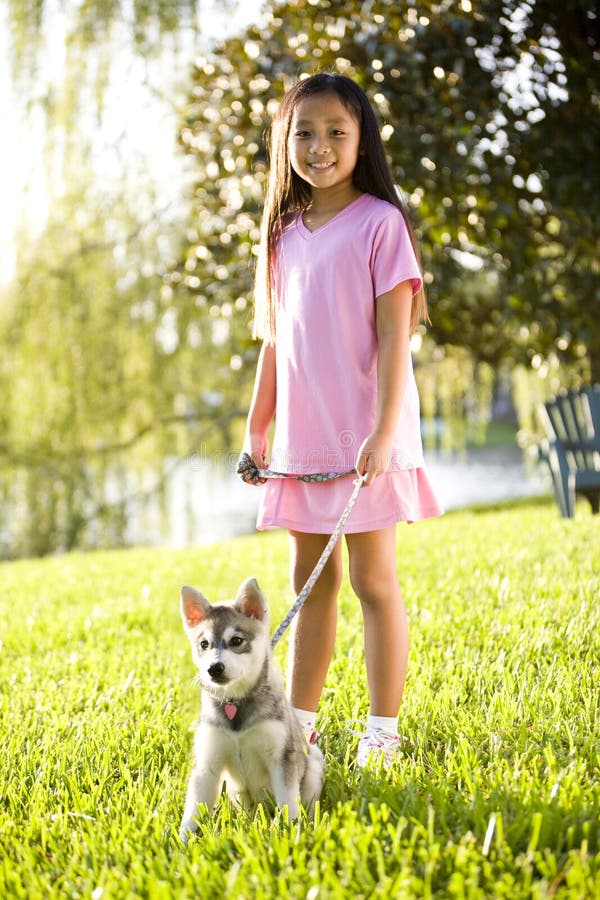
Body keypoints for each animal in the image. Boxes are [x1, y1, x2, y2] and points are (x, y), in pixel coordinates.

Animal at [179, 576, 324, 844]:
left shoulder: (280, 756)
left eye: (236, 640)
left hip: (314, 763)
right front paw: (180, 840)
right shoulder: (207, 760)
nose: (214, 668)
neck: (235, 703)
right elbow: (194, 806)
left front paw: (289, 830)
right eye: (204, 644)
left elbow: (288, 800)